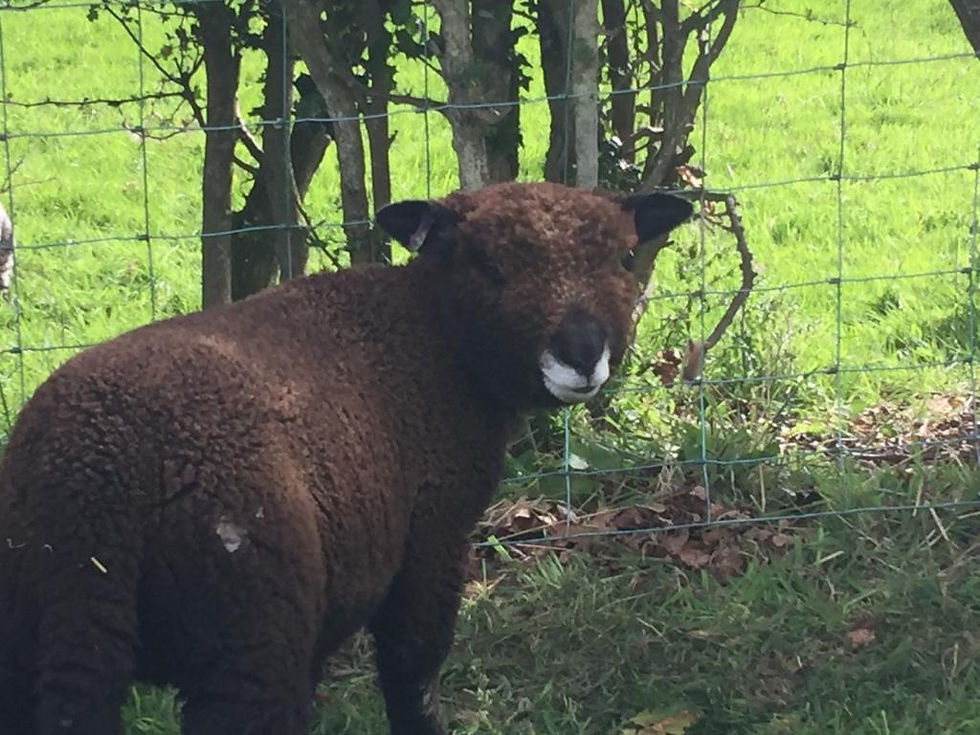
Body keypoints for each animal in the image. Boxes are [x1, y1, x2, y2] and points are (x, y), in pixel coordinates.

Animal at [0, 180, 693, 735]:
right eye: (490, 266)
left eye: (625, 257)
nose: (582, 356)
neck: (436, 332)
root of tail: (91, 489)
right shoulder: (433, 533)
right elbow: (413, 666)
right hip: (248, 631)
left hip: (35, 637)